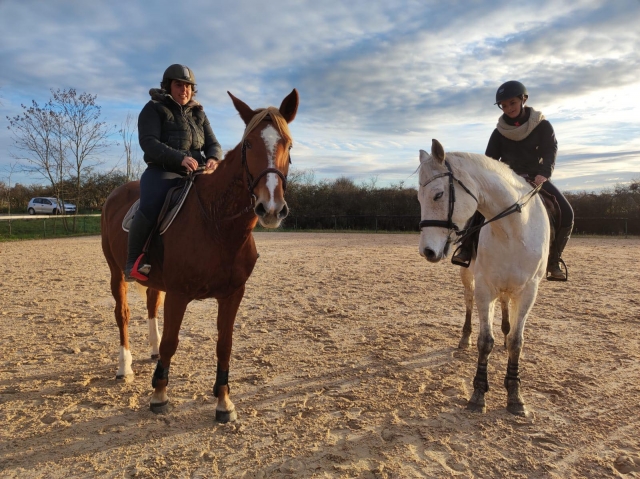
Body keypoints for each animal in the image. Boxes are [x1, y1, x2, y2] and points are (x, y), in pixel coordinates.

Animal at [100, 89, 299, 421]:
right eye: (248, 144)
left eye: (289, 144)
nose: (270, 208)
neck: (217, 225)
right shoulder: (179, 294)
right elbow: (172, 342)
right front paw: (159, 394)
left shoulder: (232, 294)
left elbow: (224, 344)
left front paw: (223, 401)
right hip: (117, 273)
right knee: (123, 314)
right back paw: (124, 367)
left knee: (152, 304)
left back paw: (151, 351)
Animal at [417, 139, 549, 416]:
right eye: (418, 198)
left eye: (438, 194)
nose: (427, 251)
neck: (512, 230)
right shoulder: (484, 288)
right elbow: (485, 341)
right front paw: (478, 393)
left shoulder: (529, 291)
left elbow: (517, 342)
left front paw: (515, 395)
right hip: (469, 277)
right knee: (468, 302)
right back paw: (464, 338)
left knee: (505, 306)